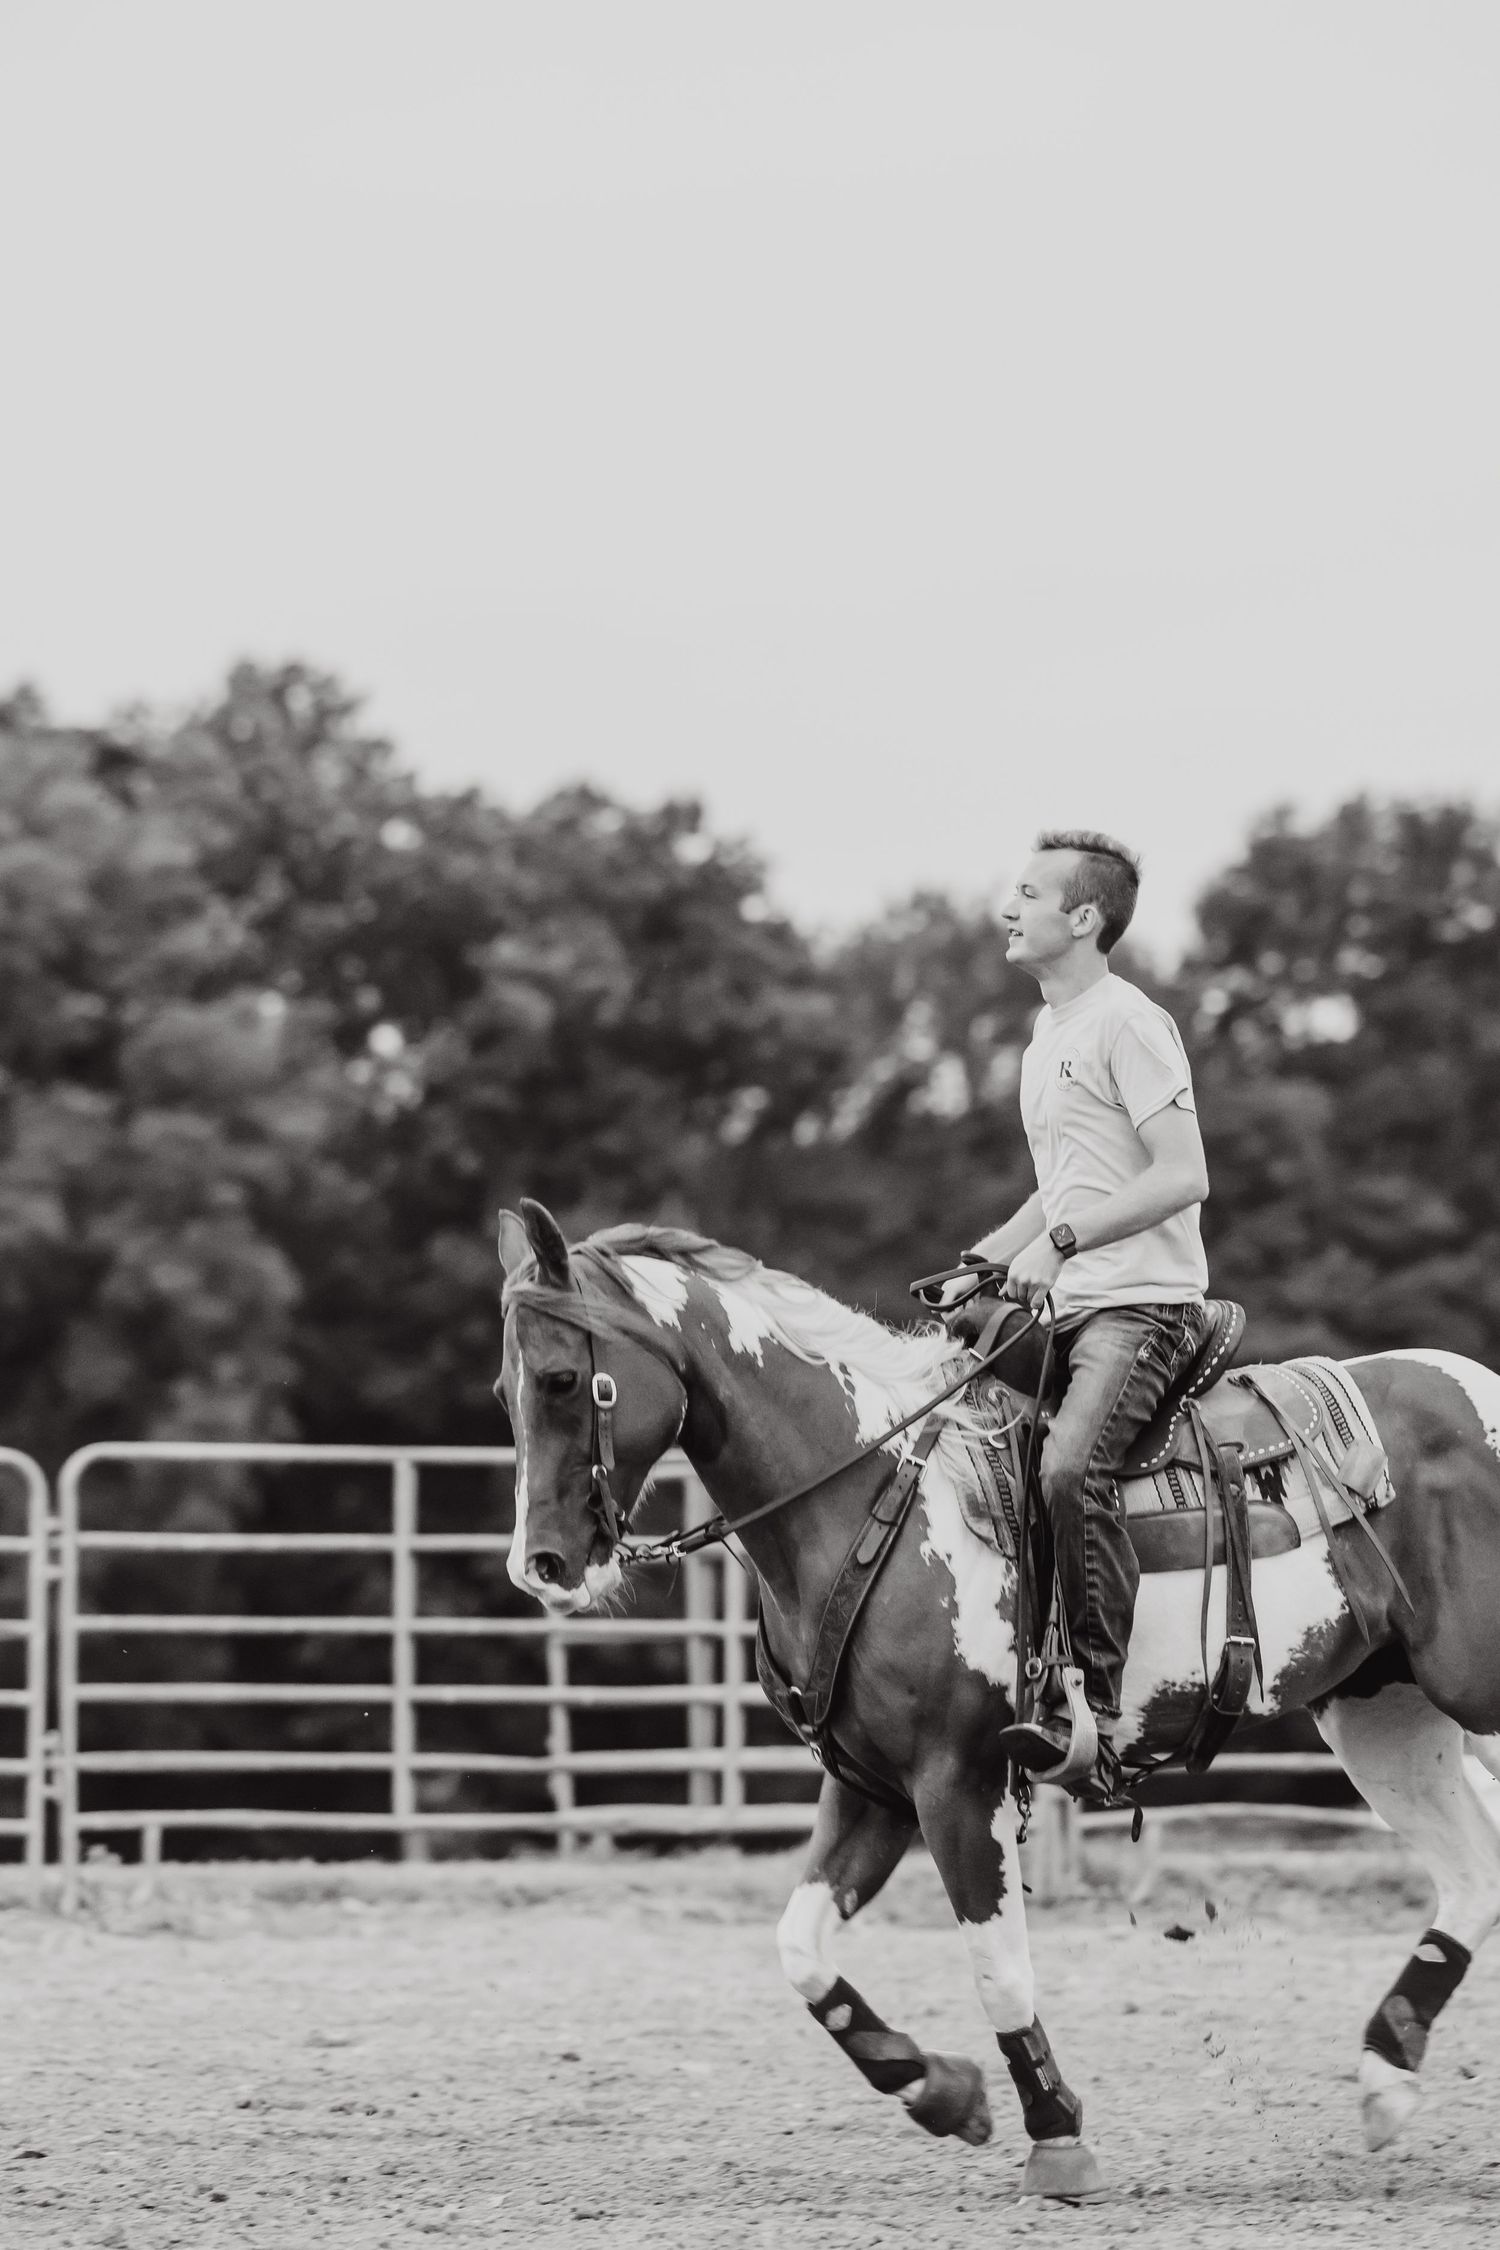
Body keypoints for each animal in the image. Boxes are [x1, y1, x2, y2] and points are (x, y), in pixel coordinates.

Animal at [495, 1197, 1500, 2200]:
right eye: (506, 1393)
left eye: (561, 1379)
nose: (540, 1567)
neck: (867, 1491)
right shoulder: (872, 1787)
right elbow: (802, 1950)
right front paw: (943, 2093)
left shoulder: (956, 1781)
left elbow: (998, 1969)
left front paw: (1055, 2137)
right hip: (1382, 1713)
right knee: (1473, 1869)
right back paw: (1385, 2076)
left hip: (1467, 1693)